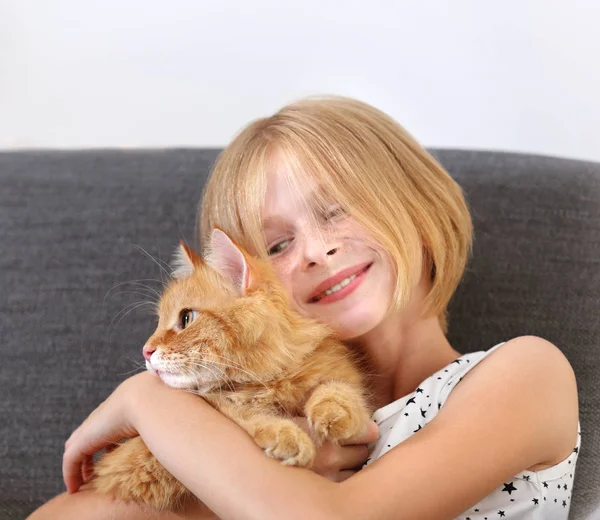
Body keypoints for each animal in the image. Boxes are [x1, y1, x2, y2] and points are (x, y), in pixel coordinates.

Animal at [90, 231, 370, 512]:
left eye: (186, 319)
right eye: (159, 322)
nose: (146, 351)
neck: (270, 382)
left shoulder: (339, 374)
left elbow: (339, 389)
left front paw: (334, 412)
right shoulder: (128, 465)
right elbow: (235, 411)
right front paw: (286, 433)